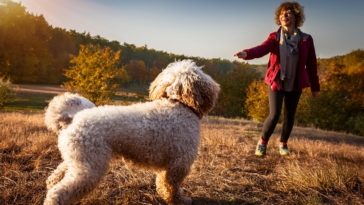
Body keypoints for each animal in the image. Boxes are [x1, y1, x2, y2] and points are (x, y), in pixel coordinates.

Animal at [42, 59, 219, 205]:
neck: (177, 104)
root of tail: (72, 119)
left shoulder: (170, 166)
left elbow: (164, 184)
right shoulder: (178, 164)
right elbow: (171, 187)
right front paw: (179, 200)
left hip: (78, 159)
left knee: (56, 177)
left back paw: (52, 180)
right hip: (89, 168)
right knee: (58, 193)